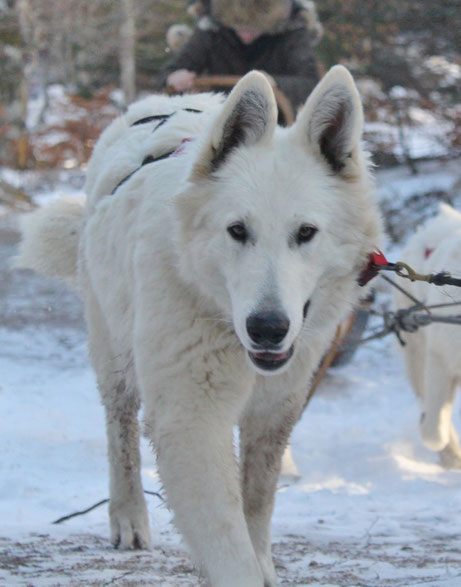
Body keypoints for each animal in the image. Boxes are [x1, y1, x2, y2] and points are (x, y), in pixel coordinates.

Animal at [16, 66, 380, 584]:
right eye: (237, 231)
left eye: (306, 233)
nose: (267, 327)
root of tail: (167, 102)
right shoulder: (191, 416)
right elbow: (228, 541)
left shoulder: (276, 409)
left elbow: (255, 505)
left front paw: (262, 562)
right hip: (115, 355)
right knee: (120, 435)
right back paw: (128, 517)